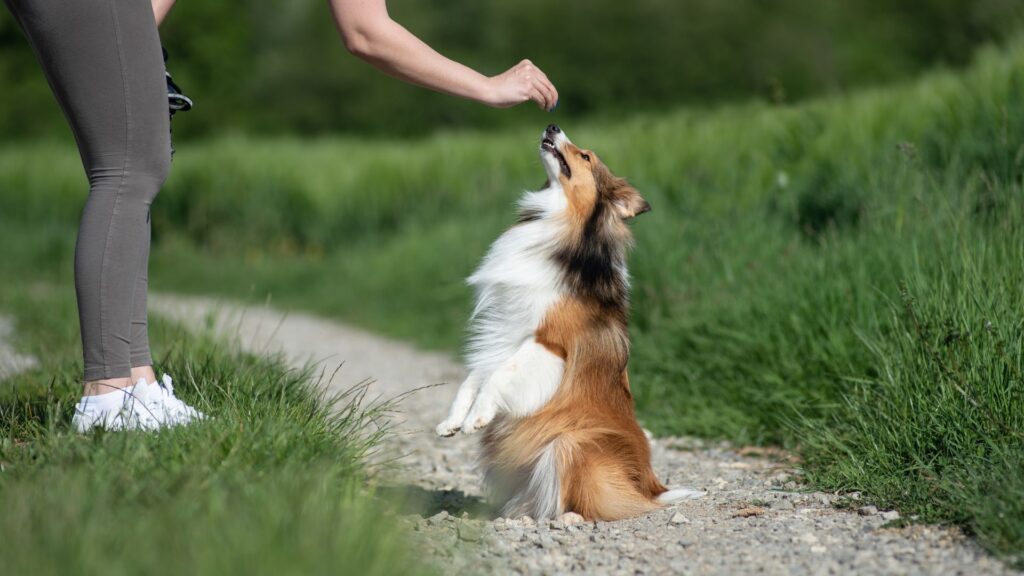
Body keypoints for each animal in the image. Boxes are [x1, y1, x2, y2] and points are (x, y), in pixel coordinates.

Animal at [432, 123, 704, 518]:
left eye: (586, 156)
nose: (552, 125)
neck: (560, 222)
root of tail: (653, 488)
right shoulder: (505, 329)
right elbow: (474, 377)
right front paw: (452, 421)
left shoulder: (549, 343)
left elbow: (499, 375)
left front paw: (476, 418)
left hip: (571, 441)